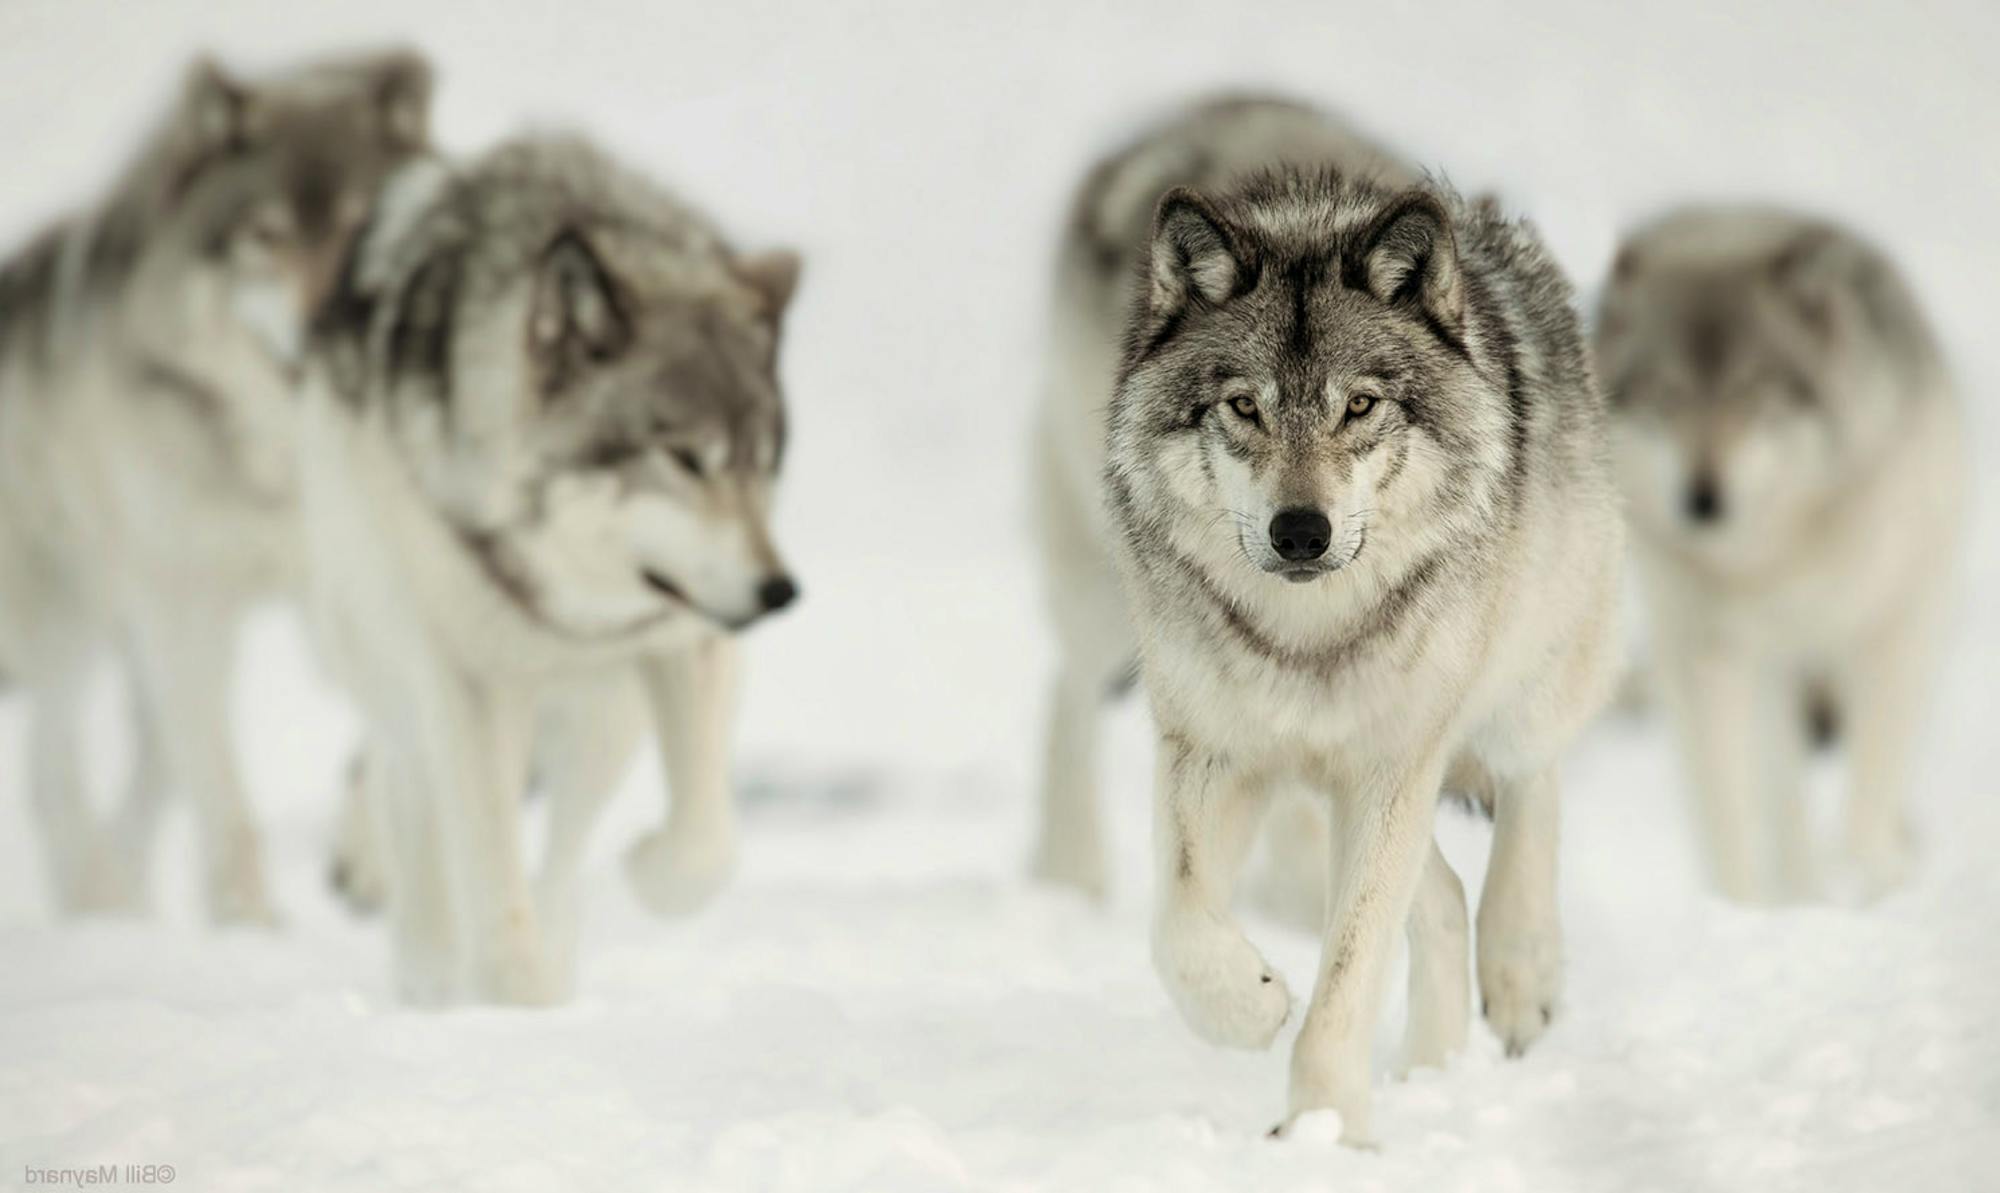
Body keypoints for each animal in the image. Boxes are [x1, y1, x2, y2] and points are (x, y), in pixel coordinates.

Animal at [0, 51, 434, 928]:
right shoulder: (190, 612)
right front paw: (249, 931)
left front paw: (367, 861)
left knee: (146, 776)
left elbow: (380, 745)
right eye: (267, 236)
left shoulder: (371, 591)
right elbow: (228, 808)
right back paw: (99, 904)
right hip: (75, 625)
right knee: (53, 766)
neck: (288, 466)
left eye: (363, 225)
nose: (325, 324)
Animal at [296, 133, 796, 1004]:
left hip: (604, 718)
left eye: (765, 463)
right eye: (685, 458)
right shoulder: (467, 684)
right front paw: (501, 996)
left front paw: (648, 869)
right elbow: (486, 868)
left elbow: (706, 844)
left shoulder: (682, 637)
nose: (779, 591)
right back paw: (429, 972)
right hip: (397, 673)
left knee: (564, 845)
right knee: (410, 800)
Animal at [1104, 163, 1632, 1144]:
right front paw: (1251, 1006)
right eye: (1245, 405)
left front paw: (1325, 1126)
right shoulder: (1213, 748)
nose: (1300, 532)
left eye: (1358, 404)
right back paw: (1432, 1068)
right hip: (1336, 786)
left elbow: (1349, 971)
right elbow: (1177, 919)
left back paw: (1521, 971)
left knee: (1530, 782)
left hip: (1520, 676)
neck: (1304, 636)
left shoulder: (1395, 762)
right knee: (1444, 896)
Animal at [1592, 207, 1968, 904]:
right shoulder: (1720, 655)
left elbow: (1870, 785)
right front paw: (1748, 908)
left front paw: (1876, 889)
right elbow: (1736, 809)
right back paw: (1792, 894)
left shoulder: (1891, 629)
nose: (1702, 500)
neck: (1778, 554)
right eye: (1666, 394)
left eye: (1751, 391)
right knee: (1773, 801)